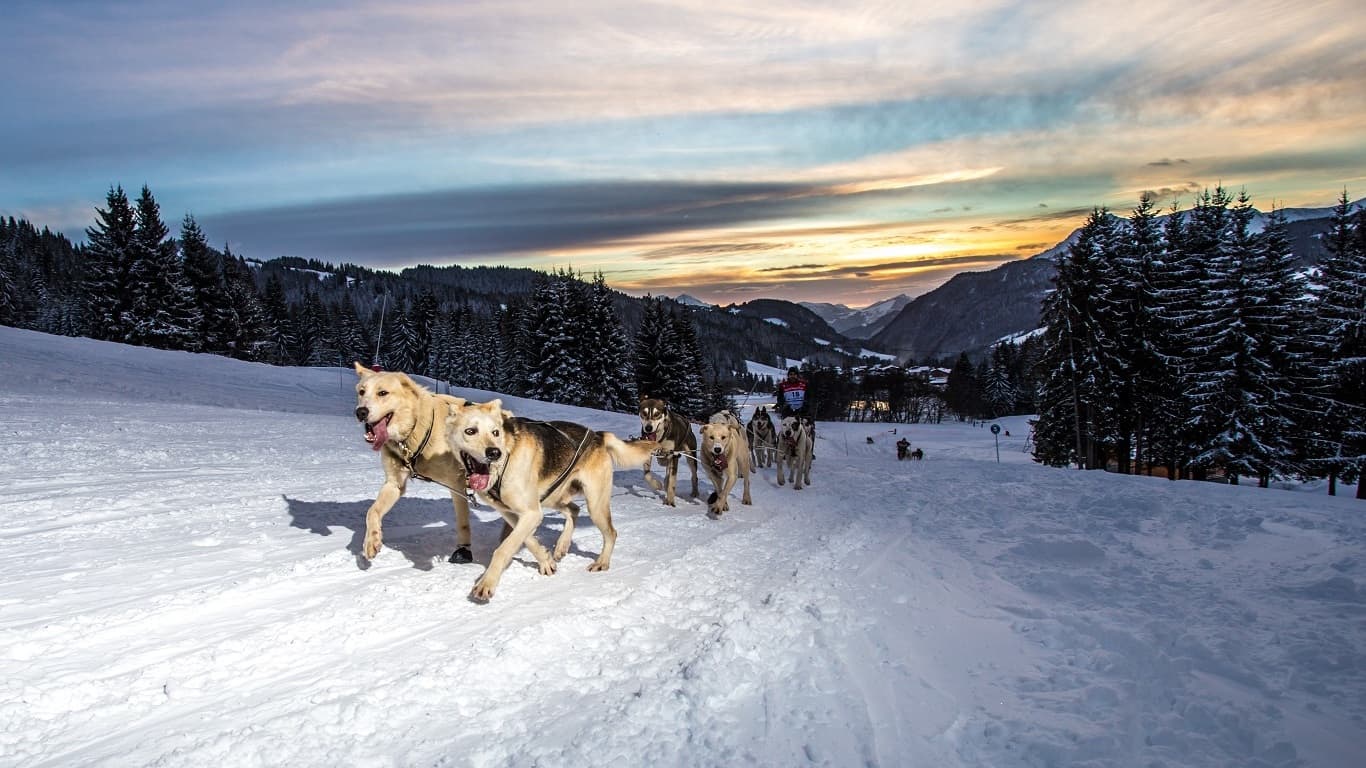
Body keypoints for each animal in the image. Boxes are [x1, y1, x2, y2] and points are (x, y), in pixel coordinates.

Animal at [352, 358, 475, 563]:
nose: (361, 412)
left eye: (383, 393)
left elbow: (463, 521)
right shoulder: (394, 484)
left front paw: (464, 550)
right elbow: (372, 511)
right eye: (362, 392)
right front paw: (371, 541)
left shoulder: (457, 484)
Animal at [445, 396, 658, 601]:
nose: (494, 453)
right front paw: (546, 561)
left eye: (496, 433)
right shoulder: (514, 512)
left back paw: (602, 562)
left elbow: (503, 549)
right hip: (552, 496)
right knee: (574, 510)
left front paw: (486, 583)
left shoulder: (531, 513)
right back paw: (562, 545)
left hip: (595, 505)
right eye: (470, 431)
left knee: (611, 533)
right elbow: (528, 539)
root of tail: (598, 435)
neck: (507, 455)